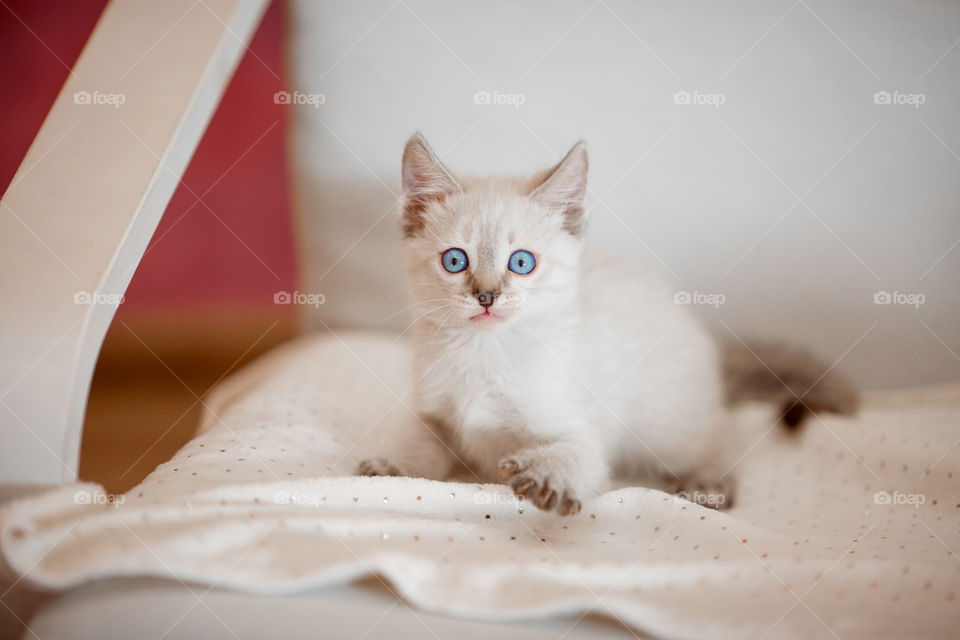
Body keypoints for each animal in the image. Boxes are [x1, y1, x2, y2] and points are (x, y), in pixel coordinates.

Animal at [356, 134, 860, 516]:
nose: (486, 296)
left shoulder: (576, 419)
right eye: (455, 260)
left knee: (721, 441)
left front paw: (549, 474)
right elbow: (421, 442)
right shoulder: (434, 413)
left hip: (670, 425)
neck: (483, 353)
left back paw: (708, 481)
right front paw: (393, 465)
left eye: (521, 263)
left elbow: (584, 453)